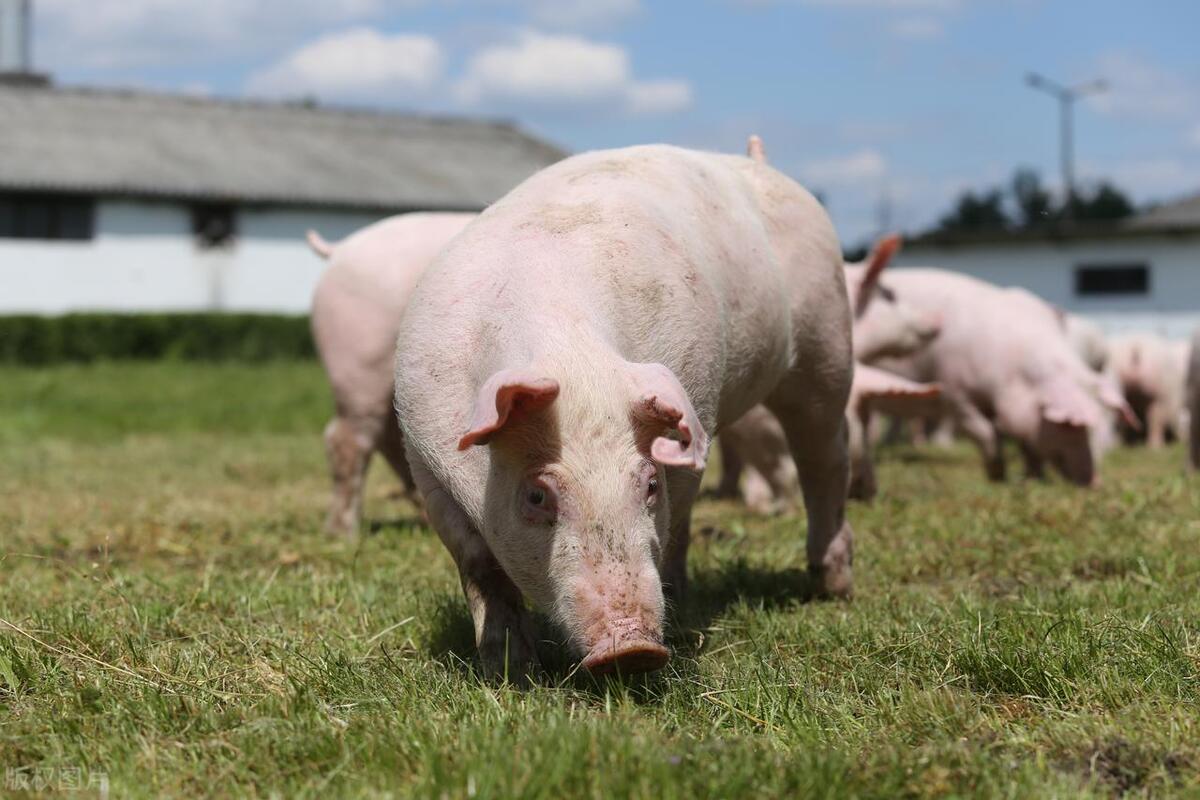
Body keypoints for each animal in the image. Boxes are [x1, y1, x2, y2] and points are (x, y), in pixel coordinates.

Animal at [393, 140, 854, 681]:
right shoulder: (424, 456)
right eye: (536, 496)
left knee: (825, 458)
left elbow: (672, 525)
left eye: (649, 483)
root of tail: (758, 163)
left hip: (828, 337)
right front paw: (510, 671)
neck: (570, 352)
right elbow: (479, 564)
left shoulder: (694, 404)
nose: (631, 648)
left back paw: (833, 588)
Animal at [868, 272, 1128, 484]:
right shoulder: (953, 390)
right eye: (1070, 427)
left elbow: (1027, 444)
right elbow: (983, 430)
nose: (1095, 482)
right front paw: (997, 475)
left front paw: (1034, 479)